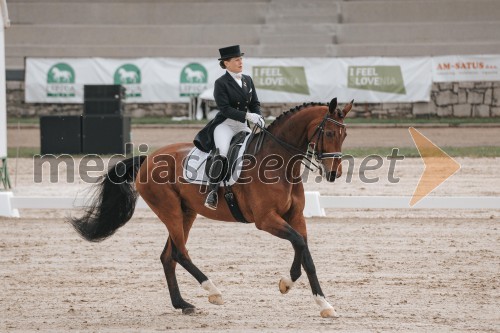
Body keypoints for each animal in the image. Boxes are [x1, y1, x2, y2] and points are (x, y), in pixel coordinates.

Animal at [69, 96, 352, 316]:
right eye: (329, 133)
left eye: (345, 134)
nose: (334, 173)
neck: (280, 163)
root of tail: (148, 159)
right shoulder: (265, 220)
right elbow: (299, 243)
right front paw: (288, 284)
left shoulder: (295, 217)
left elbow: (305, 252)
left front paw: (320, 302)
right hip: (170, 211)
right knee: (180, 253)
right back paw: (213, 291)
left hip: (186, 213)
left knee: (168, 256)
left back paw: (182, 304)